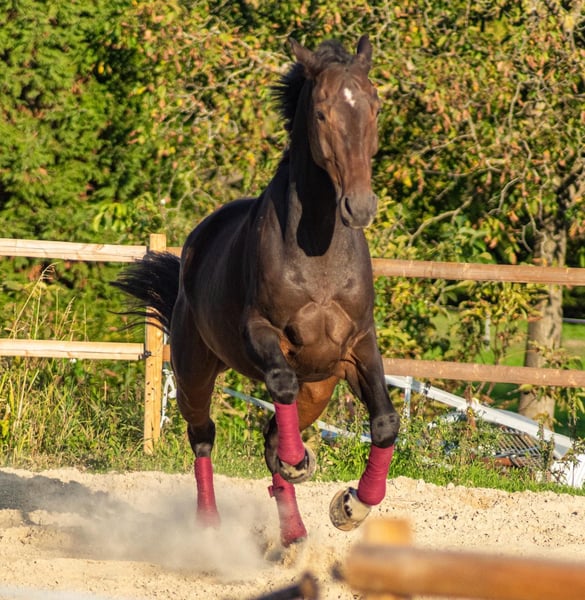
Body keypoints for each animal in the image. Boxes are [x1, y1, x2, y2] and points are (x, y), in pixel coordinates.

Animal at [113, 34, 400, 547]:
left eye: (374, 106)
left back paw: (293, 532)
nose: (360, 206)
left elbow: (385, 423)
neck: (318, 253)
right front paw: (304, 464)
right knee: (204, 435)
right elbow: (279, 385)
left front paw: (350, 505)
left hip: (318, 389)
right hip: (193, 371)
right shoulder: (262, 334)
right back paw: (212, 524)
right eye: (322, 112)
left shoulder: (357, 344)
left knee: (271, 439)